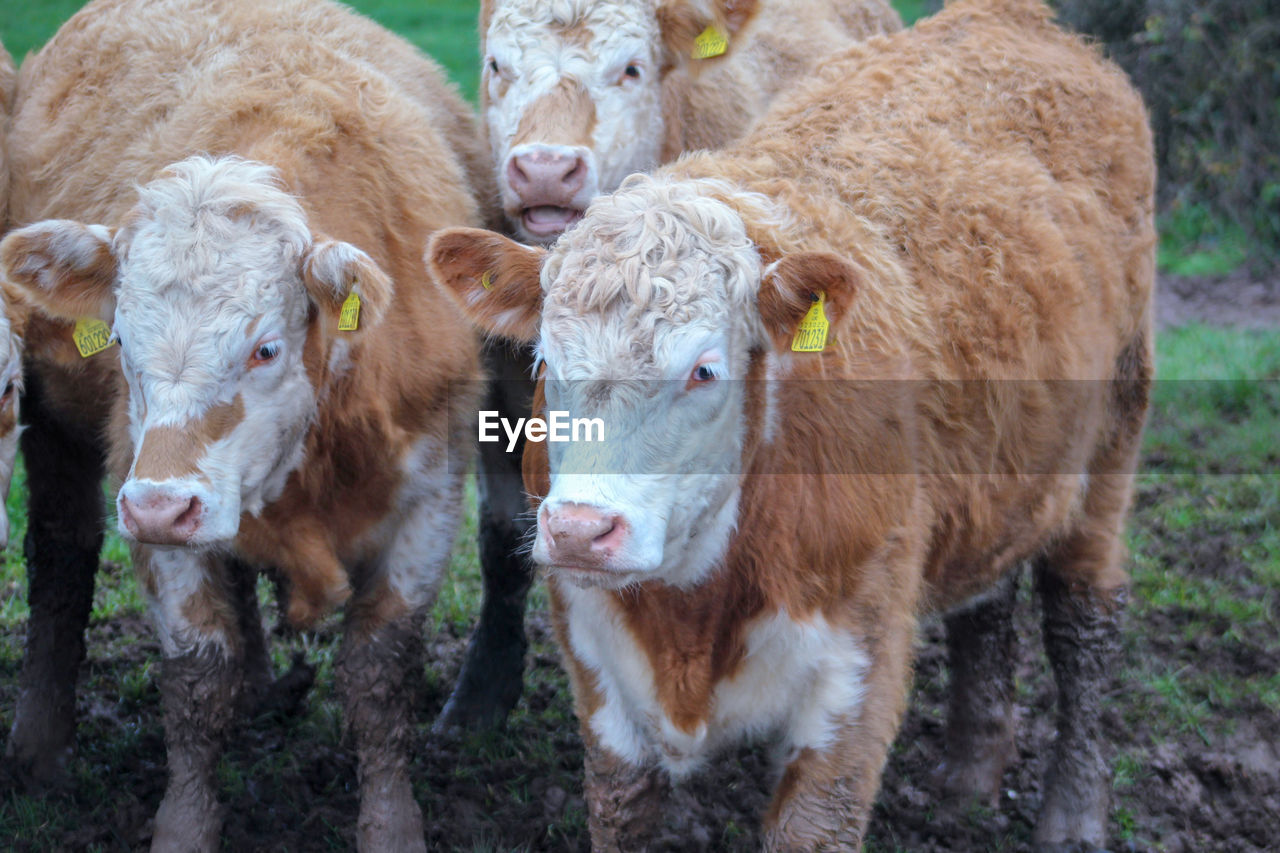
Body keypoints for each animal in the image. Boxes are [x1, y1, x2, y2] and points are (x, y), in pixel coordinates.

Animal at [0, 0, 488, 845]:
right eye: (120, 338)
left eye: (264, 347)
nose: (161, 505)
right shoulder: (148, 488)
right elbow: (199, 676)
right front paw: (184, 826)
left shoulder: (430, 500)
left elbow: (380, 675)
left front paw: (391, 823)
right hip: (58, 431)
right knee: (61, 559)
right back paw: (40, 748)